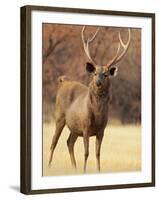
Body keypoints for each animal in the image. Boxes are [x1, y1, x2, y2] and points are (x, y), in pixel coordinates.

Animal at [49, 26, 131, 172]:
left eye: (105, 74)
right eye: (94, 73)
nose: (98, 82)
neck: (97, 114)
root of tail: (63, 82)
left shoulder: (102, 130)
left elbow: (98, 153)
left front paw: (98, 171)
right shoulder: (85, 126)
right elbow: (86, 152)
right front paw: (84, 170)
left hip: (74, 127)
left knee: (69, 142)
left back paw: (74, 168)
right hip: (59, 116)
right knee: (54, 141)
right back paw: (49, 165)